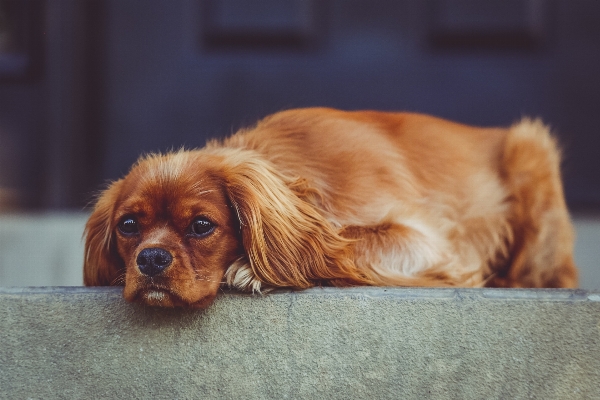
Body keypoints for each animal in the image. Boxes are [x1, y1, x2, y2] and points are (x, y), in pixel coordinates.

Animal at [83, 108, 576, 308]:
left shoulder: (431, 243)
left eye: (202, 225)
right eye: (129, 225)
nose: (150, 259)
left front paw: (251, 268)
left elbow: (349, 242)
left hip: (531, 147)